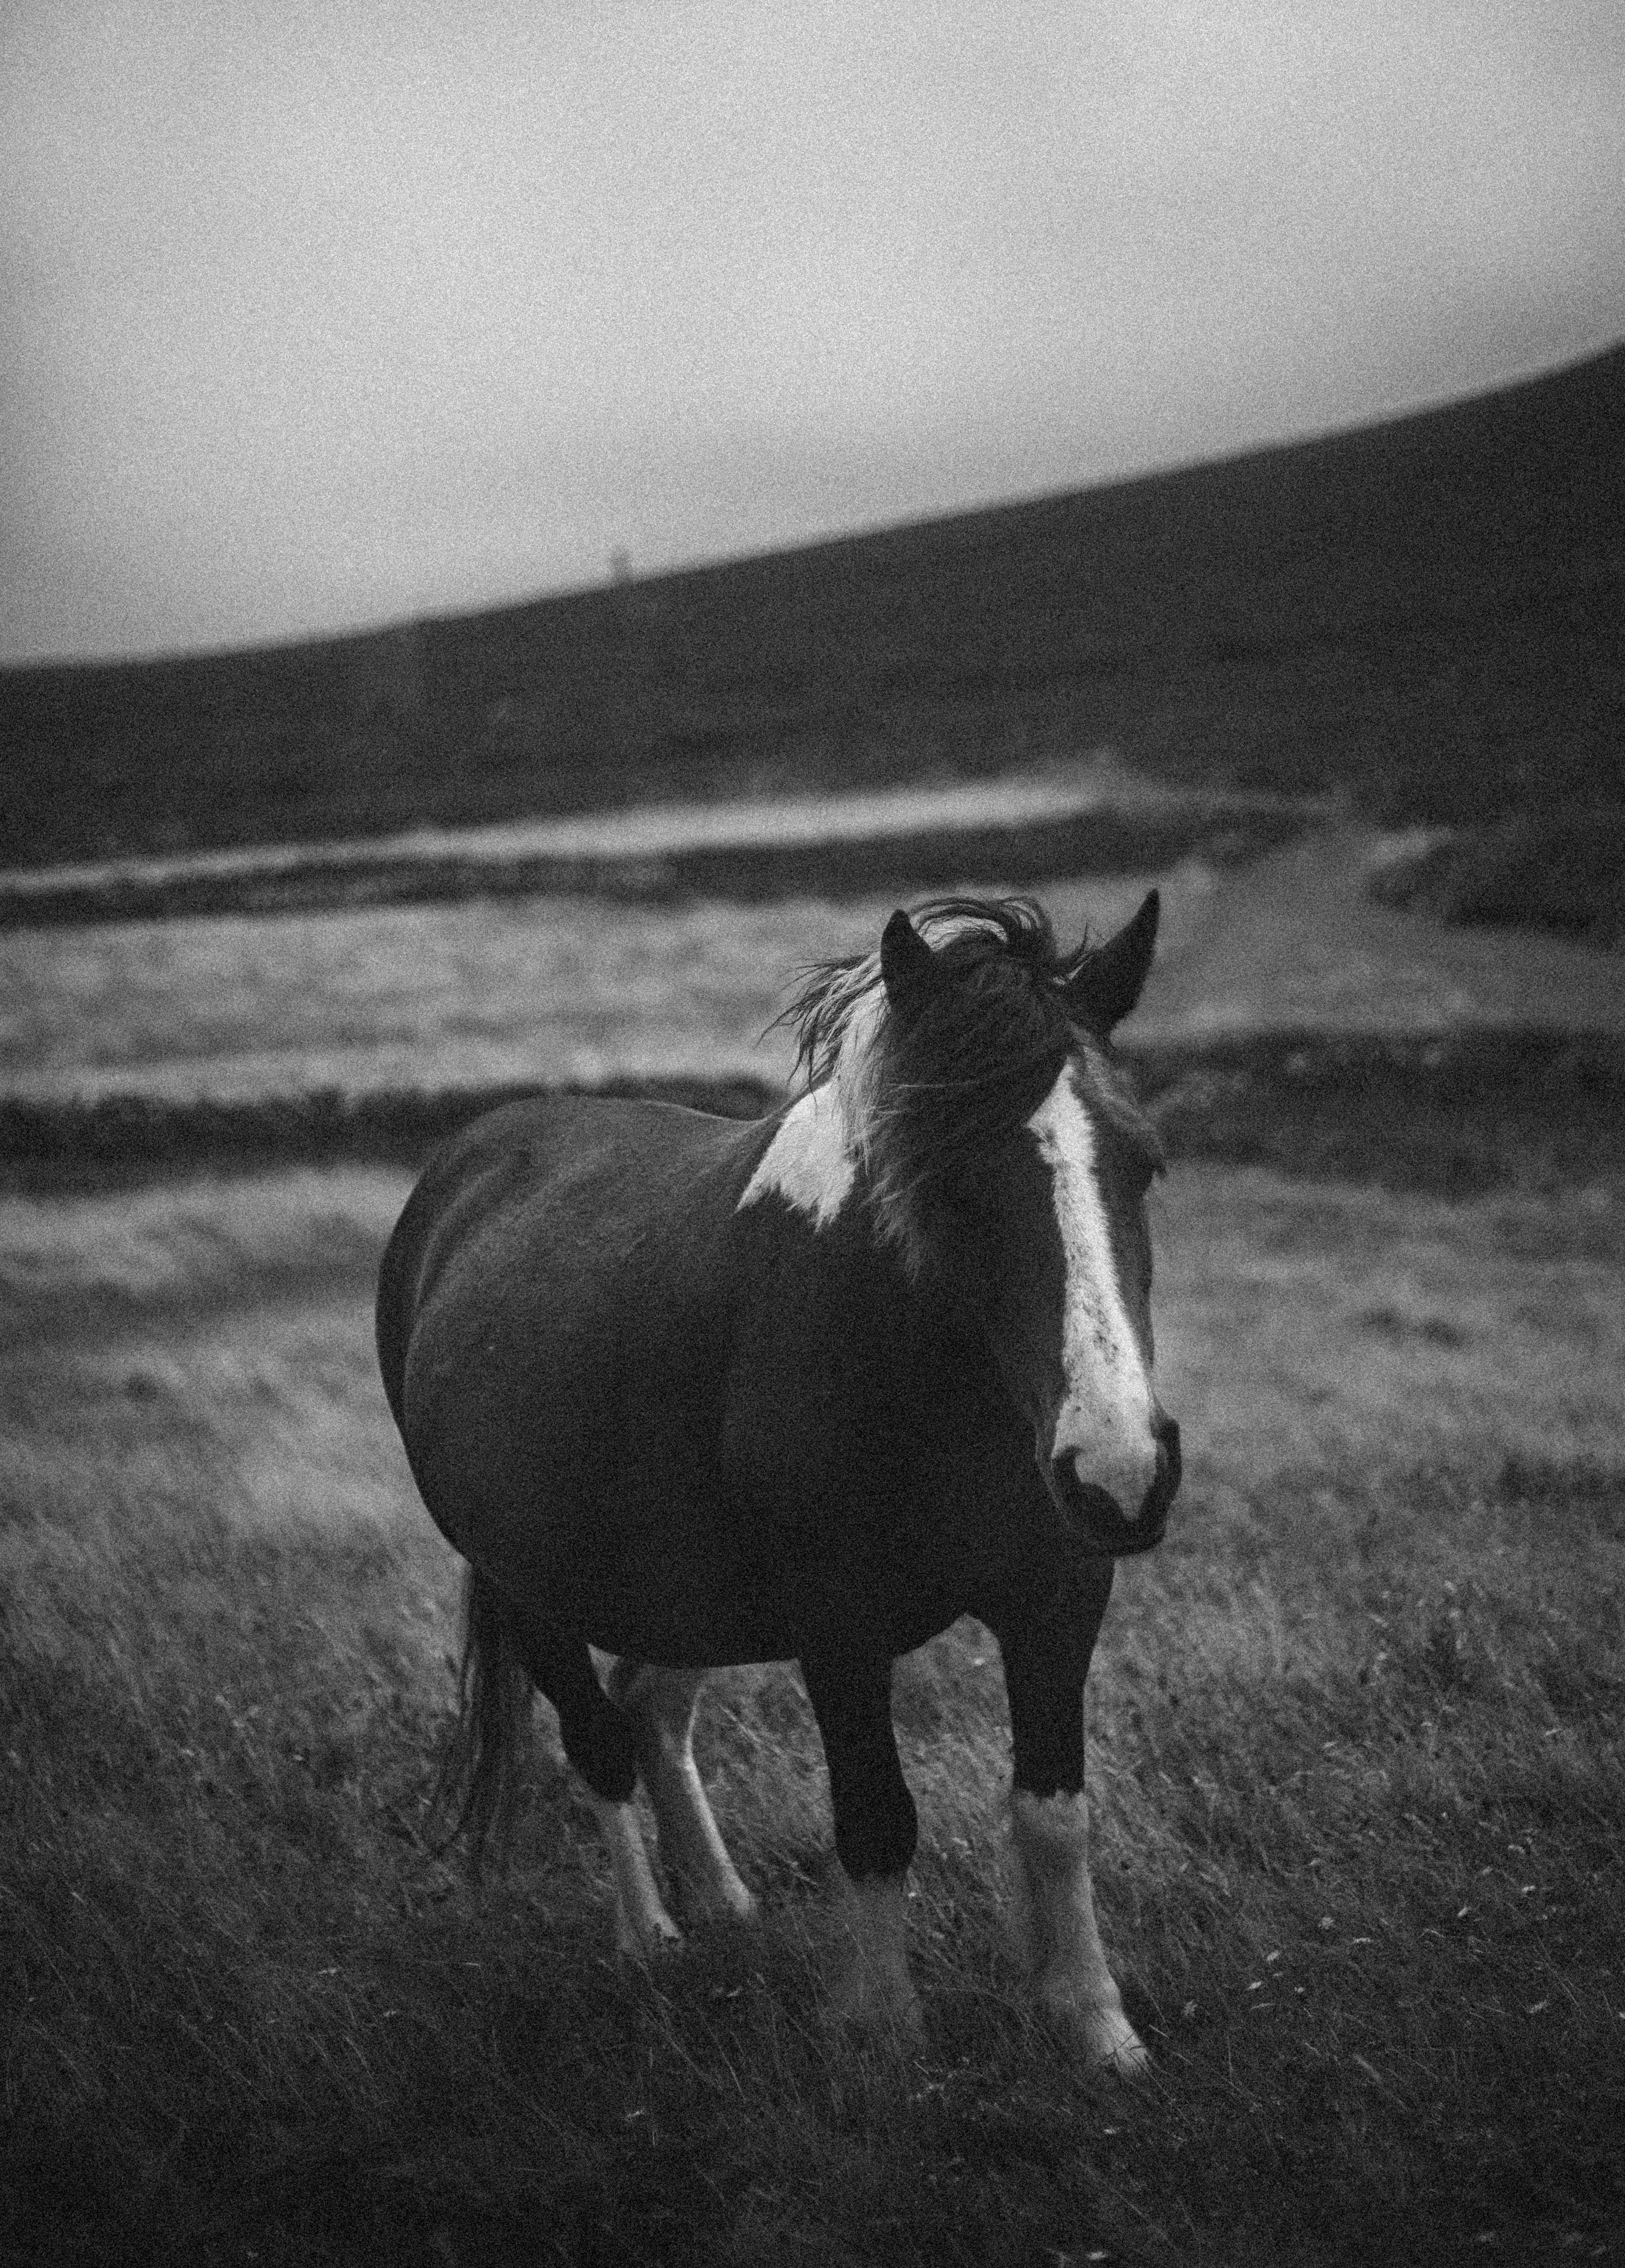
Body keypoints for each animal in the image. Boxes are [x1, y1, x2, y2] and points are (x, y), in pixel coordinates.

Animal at [375, 891, 1181, 2069]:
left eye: (1143, 1163)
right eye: (953, 1182)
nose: (1121, 1470)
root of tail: (462, 1169)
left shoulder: (1060, 1594)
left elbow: (1054, 1810)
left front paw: (1093, 2024)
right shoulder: (838, 1624)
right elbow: (876, 1818)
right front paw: (885, 2035)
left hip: (673, 1588)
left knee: (652, 1710)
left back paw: (722, 1902)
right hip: (528, 1585)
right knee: (600, 1742)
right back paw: (651, 1939)